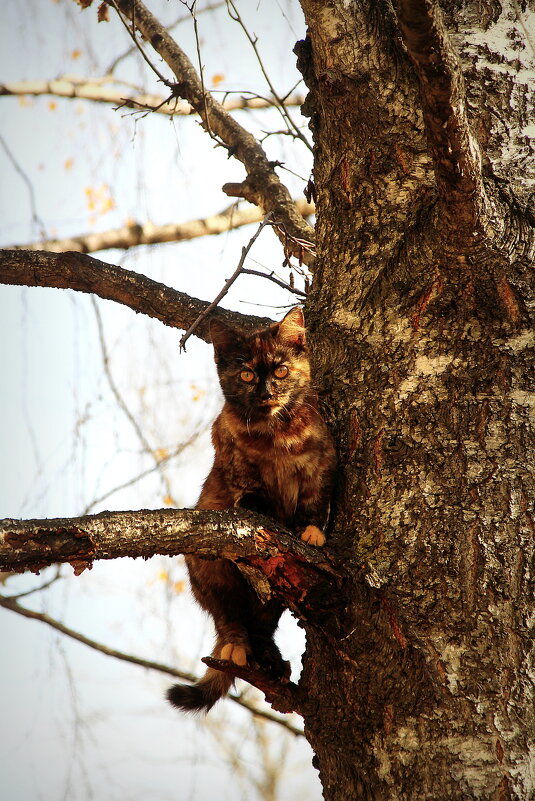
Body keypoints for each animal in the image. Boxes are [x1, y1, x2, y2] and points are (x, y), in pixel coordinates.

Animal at [165, 306, 338, 712]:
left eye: (281, 371)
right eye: (246, 375)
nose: (266, 391)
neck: (278, 434)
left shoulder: (322, 461)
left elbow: (314, 499)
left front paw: (311, 531)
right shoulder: (237, 465)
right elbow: (255, 496)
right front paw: (274, 518)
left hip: (271, 596)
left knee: (261, 625)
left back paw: (271, 661)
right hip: (214, 573)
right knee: (229, 618)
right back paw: (237, 649)